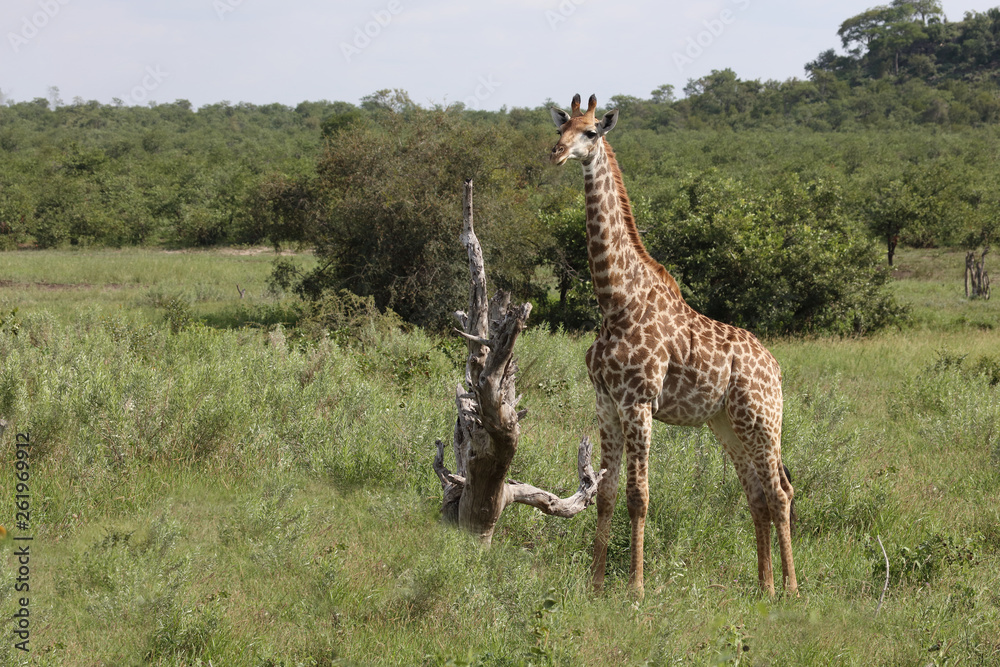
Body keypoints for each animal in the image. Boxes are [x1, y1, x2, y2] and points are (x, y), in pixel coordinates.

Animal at [549, 94, 797, 597]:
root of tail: (775, 367)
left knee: (781, 491)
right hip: (726, 423)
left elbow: (638, 496)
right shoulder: (606, 402)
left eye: (591, 132)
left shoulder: (639, 402)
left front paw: (636, 589)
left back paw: (793, 589)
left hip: (763, 418)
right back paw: (764, 588)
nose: (557, 152)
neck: (615, 299)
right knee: (757, 493)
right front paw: (596, 584)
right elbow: (604, 494)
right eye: (561, 127)